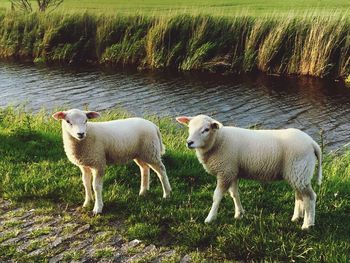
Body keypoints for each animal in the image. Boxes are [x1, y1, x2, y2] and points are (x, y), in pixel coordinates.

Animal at [176, 114, 322, 230]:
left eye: (206, 129)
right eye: (189, 127)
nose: (189, 142)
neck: (218, 140)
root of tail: (312, 143)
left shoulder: (225, 172)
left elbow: (217, 196)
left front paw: (210, 218)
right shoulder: (232, 172)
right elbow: (234, 194)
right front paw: (239, 213)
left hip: (299, 170)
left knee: (310, 197)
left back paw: (307, 224)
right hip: (296, 173)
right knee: (299, 195)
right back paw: (296, 217)